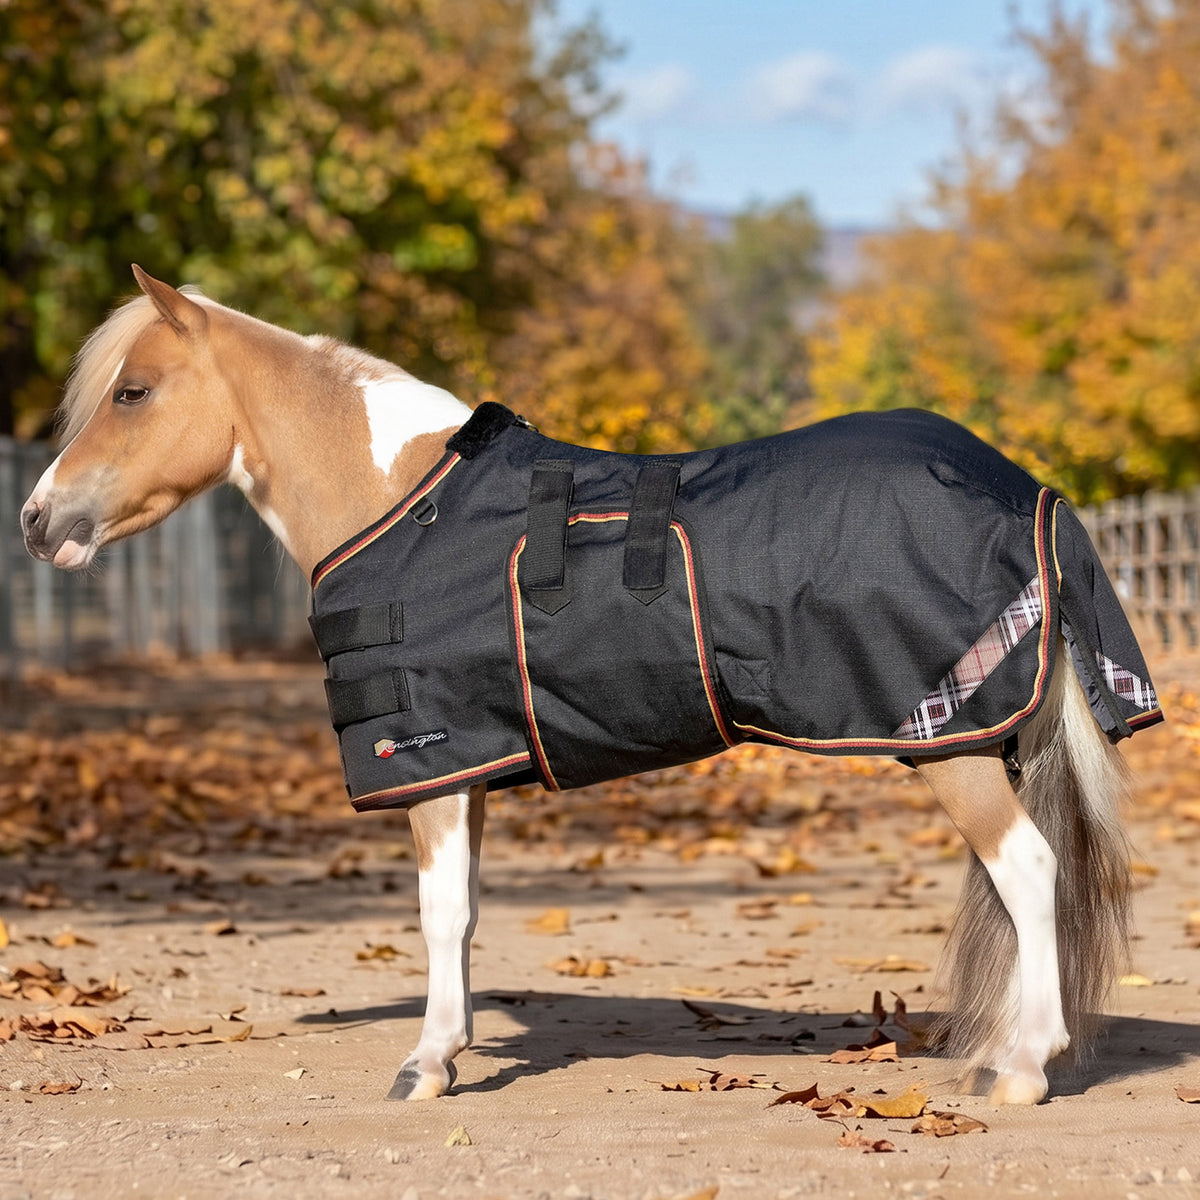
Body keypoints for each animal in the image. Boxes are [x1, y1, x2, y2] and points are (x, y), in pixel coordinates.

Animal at [21, 266, 1161, 1106]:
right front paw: (451, 1048)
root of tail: (1024, 488)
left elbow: (437, 913)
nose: (38, 520)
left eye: (132, 392)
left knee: (1028, 870)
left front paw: (425, 1065)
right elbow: (465, 915)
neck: (403, 500)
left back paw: (1022, 1071)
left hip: (945, 743)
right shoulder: (472, 766)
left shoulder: (430, 764)